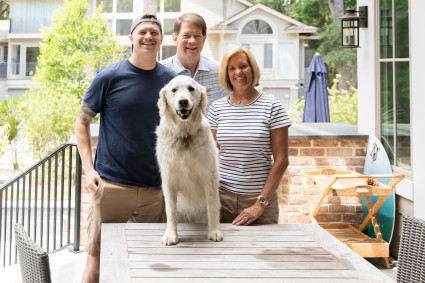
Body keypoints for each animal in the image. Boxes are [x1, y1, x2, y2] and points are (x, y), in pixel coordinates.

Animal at [155, 75, 222, 246]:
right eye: (174, 90)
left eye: (191, 88)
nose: (183, 101)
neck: (184, 135)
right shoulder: (169, 179)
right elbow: (171, 210)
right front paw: (171, 235)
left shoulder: (209, 177)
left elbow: (212, 206)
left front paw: (214, 231)